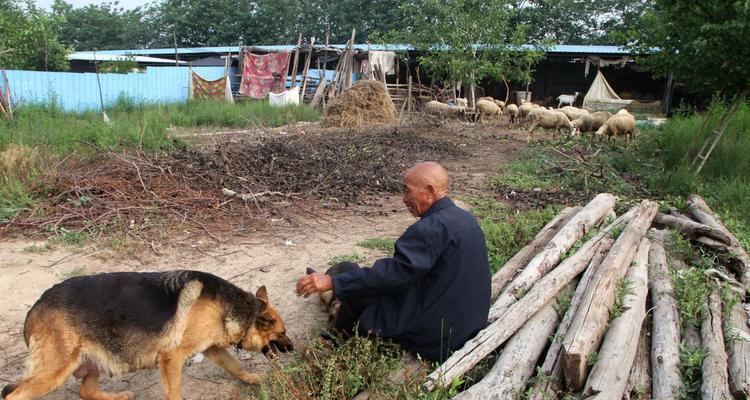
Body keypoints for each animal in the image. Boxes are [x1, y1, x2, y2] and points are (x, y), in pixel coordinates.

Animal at [2, 270, 294, 398]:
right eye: (282, 332)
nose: (292, 348)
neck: (234, 307)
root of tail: (36, 306)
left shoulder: (212, 348)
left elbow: (234, 366)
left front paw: (252, 379)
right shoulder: (172, 359)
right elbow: (175, 393)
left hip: (92, 361)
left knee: (87, 391)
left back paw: (118, 397)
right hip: (54, 371)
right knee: (15, 395)